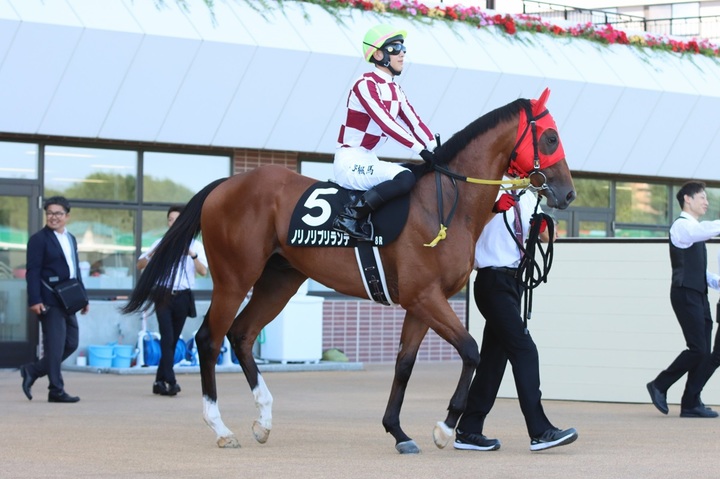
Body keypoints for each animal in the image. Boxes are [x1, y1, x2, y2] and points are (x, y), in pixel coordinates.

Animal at [122, 88, 576, 454]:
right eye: (551, 137)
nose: (568, 193)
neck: (447, 202)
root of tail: (224, 186)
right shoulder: (426, 297)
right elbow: (471, 351)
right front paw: (445, 428)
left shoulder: (420, 303)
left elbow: (404, 364)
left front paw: (398, 431)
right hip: (235, 278)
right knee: (209, 339)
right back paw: (221, 428)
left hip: (279, 280)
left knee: (243, 335)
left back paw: (264, 420)